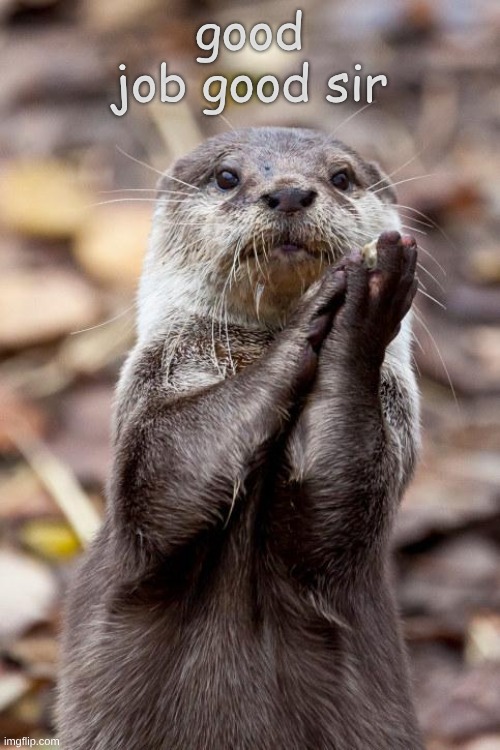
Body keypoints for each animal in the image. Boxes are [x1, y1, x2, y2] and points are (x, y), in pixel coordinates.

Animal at [58, 127, 424, 750]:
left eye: (341, 177)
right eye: (227, 177)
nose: (290, 193)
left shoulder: (389, 447)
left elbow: (335, 502)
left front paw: (365, 302)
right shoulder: (148, 422)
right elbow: (166, 476)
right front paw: (334, 307)